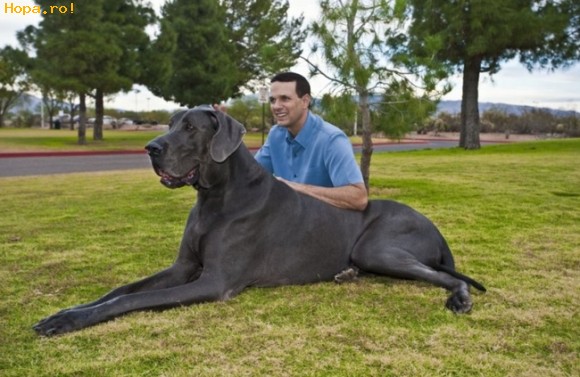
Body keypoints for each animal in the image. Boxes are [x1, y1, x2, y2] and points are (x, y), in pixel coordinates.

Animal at [32, 105, 484, 334]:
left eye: (191, 127)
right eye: (170, 123)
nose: (151, 148)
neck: (215, 197)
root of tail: (436, 228)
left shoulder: (213, 281)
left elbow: (131, 300)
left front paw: (71, 321)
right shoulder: (182, 267)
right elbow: (120, 290)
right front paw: (65, 313)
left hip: (377, 248)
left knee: (449, 277)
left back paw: (459, 298)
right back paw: (346, 274)